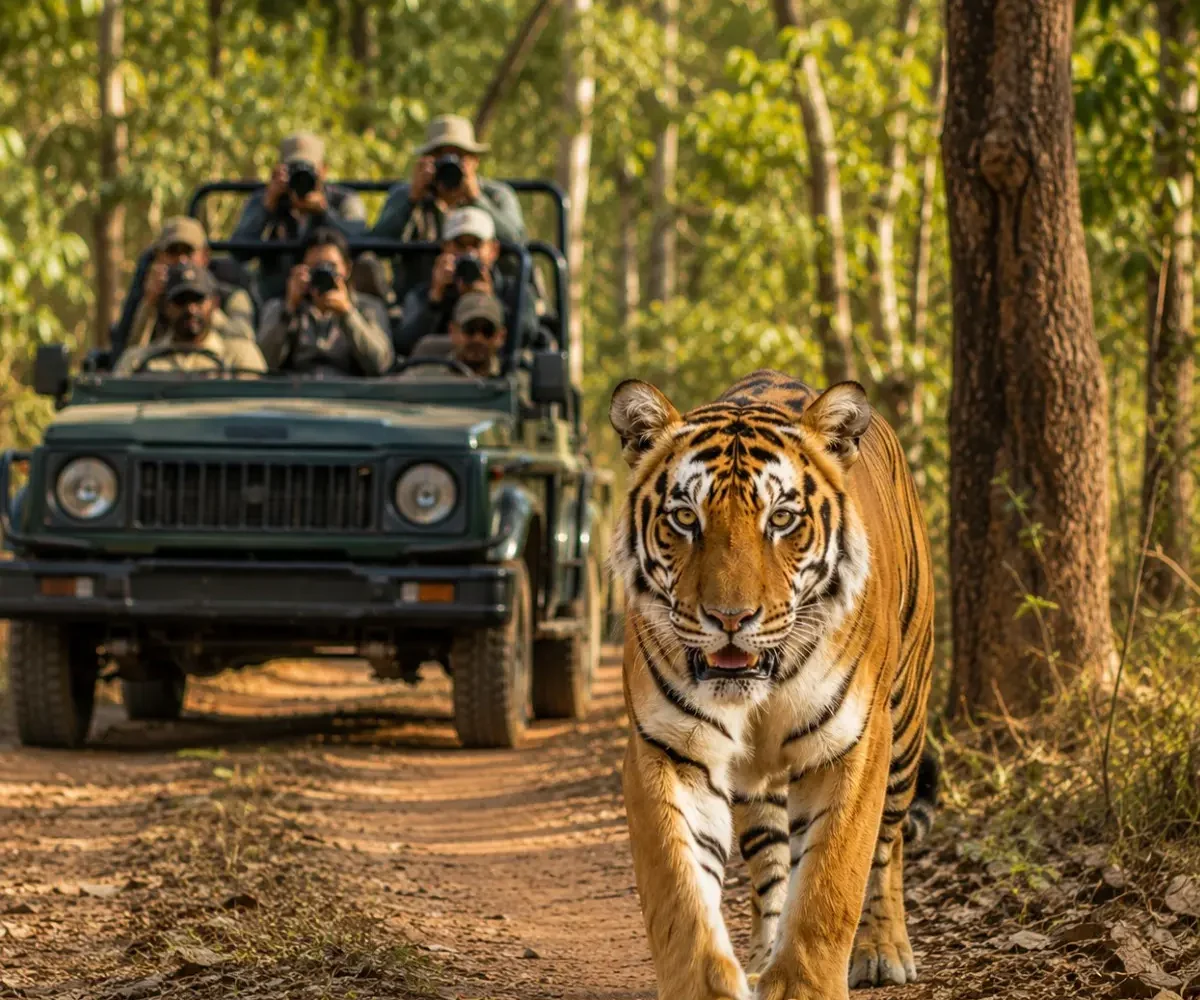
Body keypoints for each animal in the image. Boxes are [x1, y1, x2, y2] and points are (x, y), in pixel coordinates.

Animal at [608, 370, 937, 1000]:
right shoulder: (669, 748)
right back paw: (762, 959)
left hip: (906, 727)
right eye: (685, 518)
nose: (730, 618)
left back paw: (883, 950)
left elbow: (832, 884)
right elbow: (680, 894)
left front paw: (806, 986)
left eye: (781, 519)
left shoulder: (853, 743)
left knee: (889, 846)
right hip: (758, 788)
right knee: (771, 867)